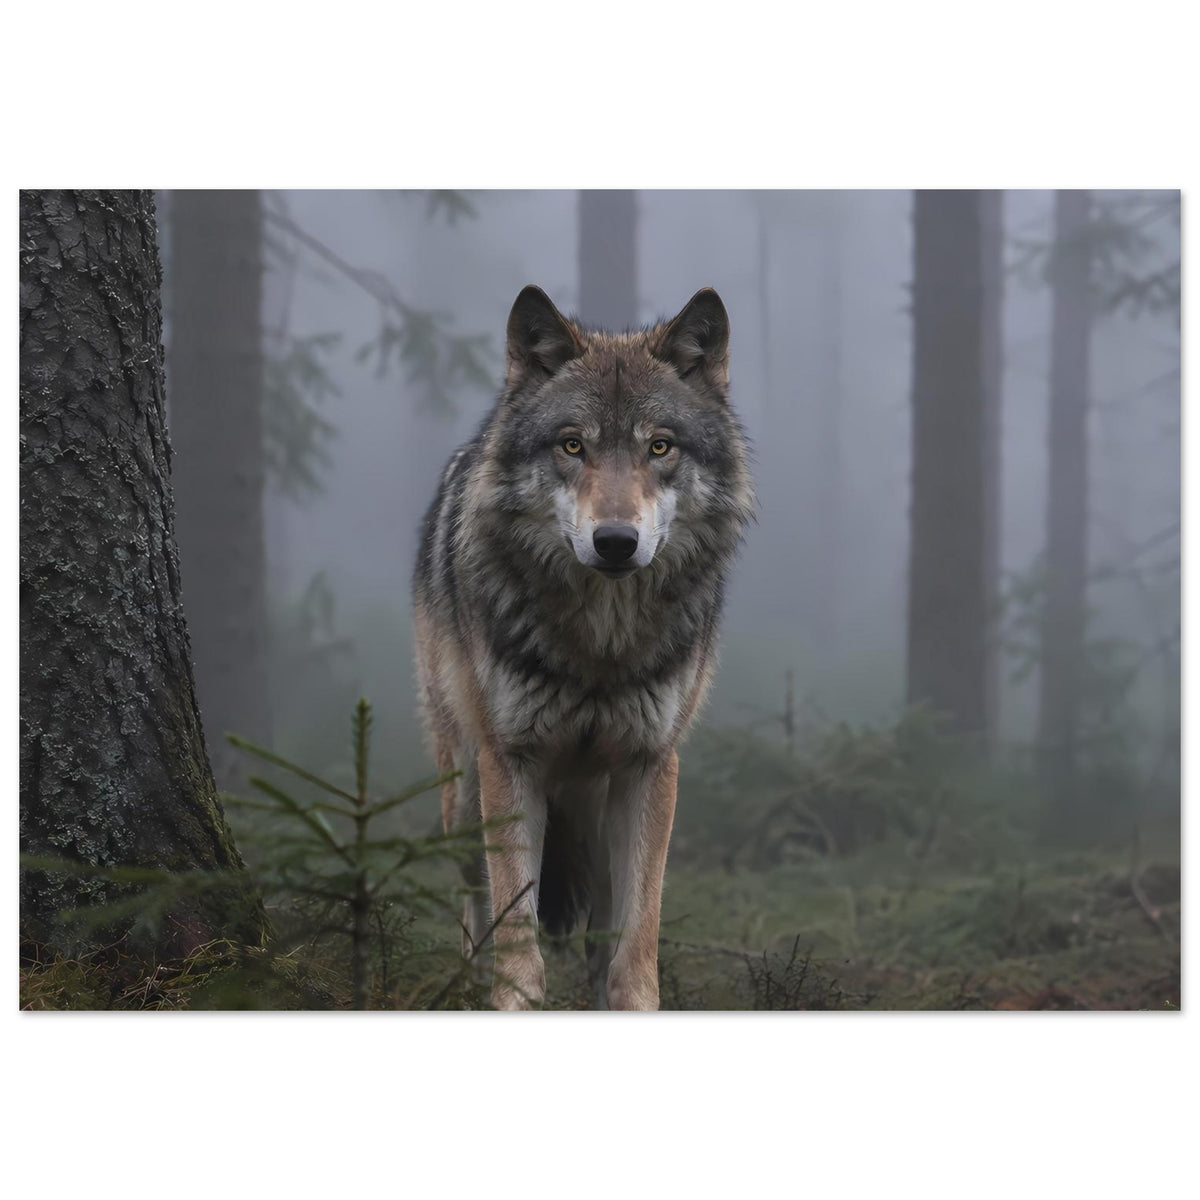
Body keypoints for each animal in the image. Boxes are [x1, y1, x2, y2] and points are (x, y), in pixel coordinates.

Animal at [413, 284, 753, 1010]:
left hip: (595, 815)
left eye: (660, 447)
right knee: (473, 909)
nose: (616, 542)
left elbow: (636, 942)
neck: (601, 643)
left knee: (600, 932)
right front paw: (510, 1001)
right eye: (572, 445)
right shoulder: (510, 761)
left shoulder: (651, 766)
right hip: (464, 788)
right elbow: (517, 936)